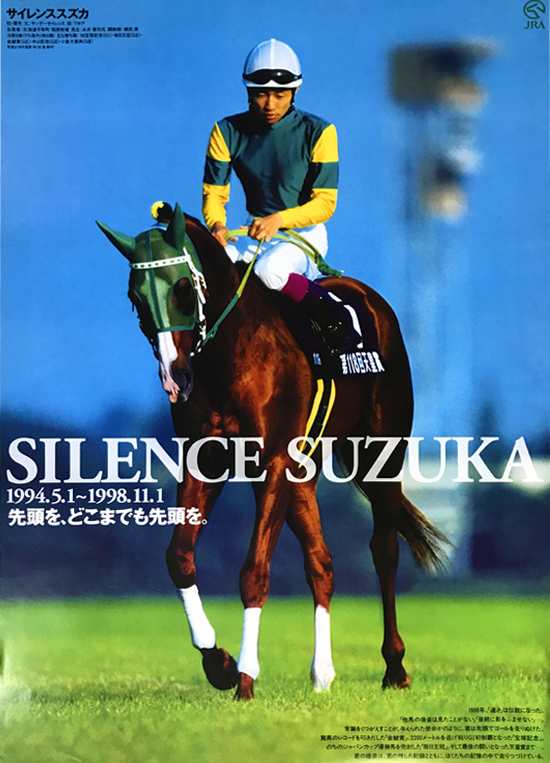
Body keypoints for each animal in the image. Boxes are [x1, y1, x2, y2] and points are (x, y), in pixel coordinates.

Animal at [97, 203, 448, 701]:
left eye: (182, 288)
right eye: (135, 297)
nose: (175, 377)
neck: (231, 352)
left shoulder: (274, 463)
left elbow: (254, 571)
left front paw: (245, 677)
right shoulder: (207, 460)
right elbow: (178, 557)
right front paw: (219, 663)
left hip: (382, 451)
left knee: (384, 549)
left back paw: (394, 668)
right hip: (305, 472)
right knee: (322, 562)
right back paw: (322, 673)